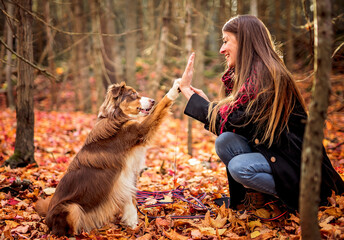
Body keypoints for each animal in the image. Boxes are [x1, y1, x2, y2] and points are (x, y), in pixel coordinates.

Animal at [34, 79, 180, 236]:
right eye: (133, 94)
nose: (153, 101)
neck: (116, 115)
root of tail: (47, 219)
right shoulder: (139, 130)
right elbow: (161, 105)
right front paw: (176, 87)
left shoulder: (128, 175)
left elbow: (131, 200)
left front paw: (133, 225)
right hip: (71, 207)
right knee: (63, 232)